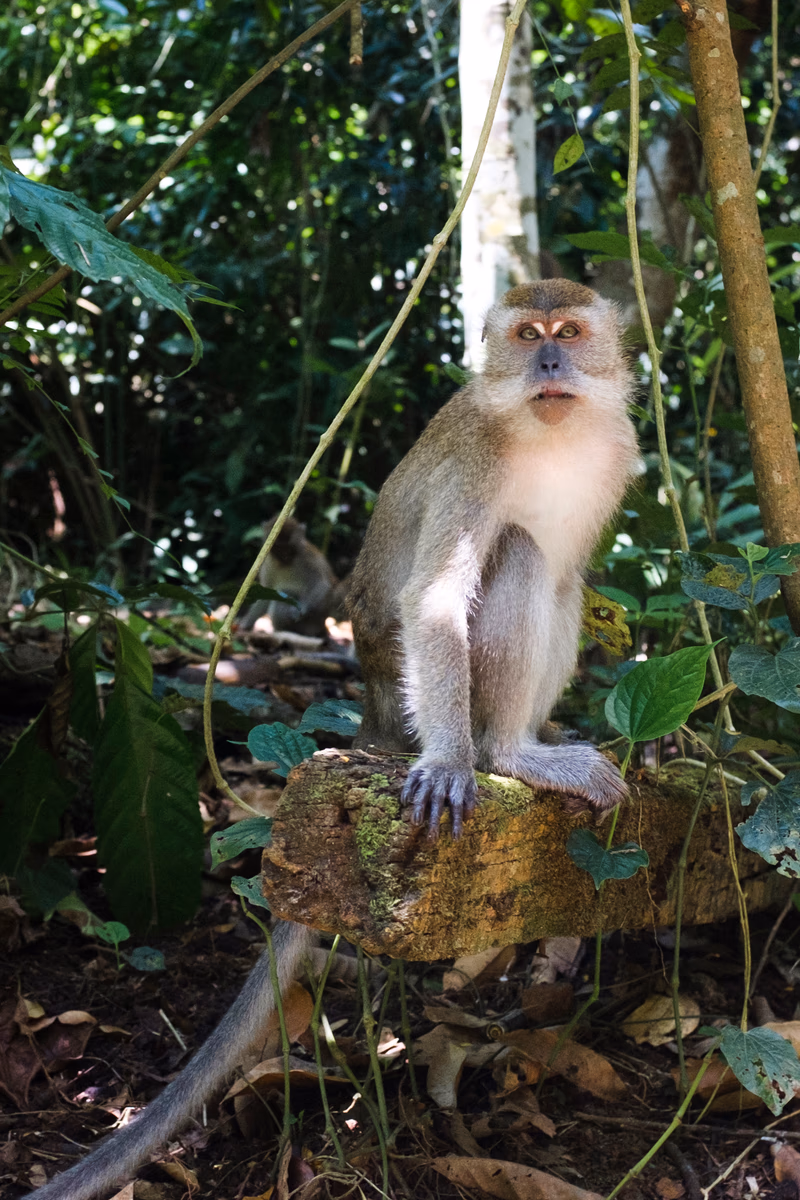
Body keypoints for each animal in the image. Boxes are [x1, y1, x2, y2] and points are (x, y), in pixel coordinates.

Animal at [28, 280, 637, 1199]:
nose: (552, 363)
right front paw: (454, 763)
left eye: (568, 331)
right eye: (529, 334)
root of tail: (379, 709)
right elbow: (436, 595)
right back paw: (505, 754)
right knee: (525, 556)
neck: (550, 432)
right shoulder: (476, 462)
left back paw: (531, 737)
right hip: (408, 684)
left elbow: (572, 581)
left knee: (563, 578)